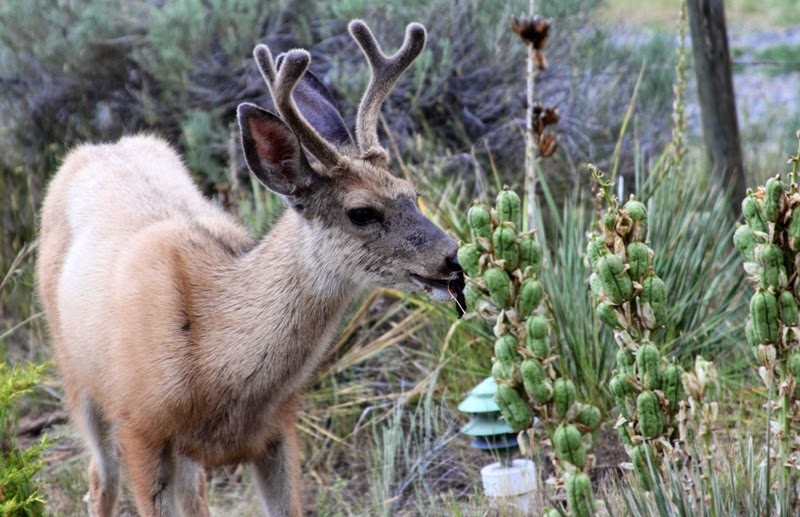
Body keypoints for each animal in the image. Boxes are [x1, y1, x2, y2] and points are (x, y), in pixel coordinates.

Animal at [36, 19, 464, 517]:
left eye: (413, 193)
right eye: (361, 212)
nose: (452, 257)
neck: (212, 357)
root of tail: (100, 145)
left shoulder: (278, 429)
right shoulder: (139, 426)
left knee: (193, 494)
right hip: (75, 375)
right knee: (100, 477)